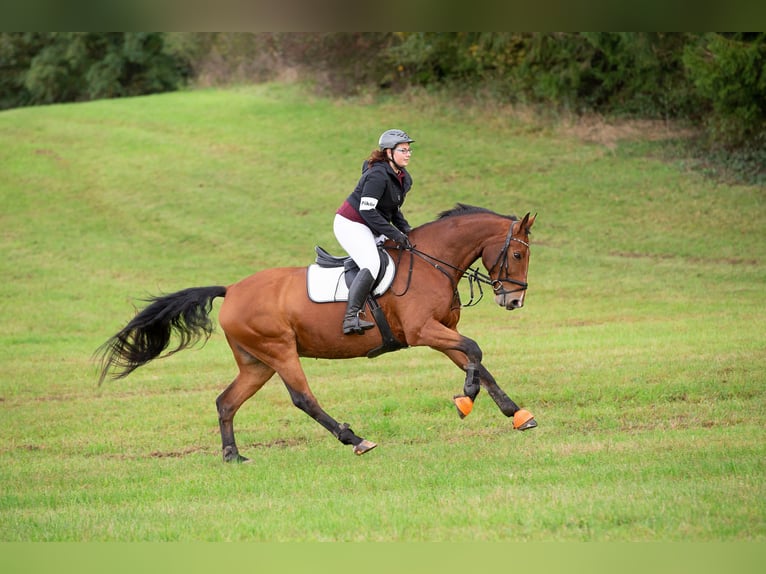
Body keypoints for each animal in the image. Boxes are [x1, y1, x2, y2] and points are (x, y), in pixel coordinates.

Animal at [96, 205, 536, 462]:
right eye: (517, 254)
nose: (514, 300)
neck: (432, 262)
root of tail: (232, 289)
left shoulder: (443, 330)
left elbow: (476, 360)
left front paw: (516, 414)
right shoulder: (423, 331)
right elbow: (475, 351)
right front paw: (466, 399)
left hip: (256, 363)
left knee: (226, 402)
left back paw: (233, 456)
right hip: (279, 351)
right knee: (302, 398)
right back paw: (355, 439)